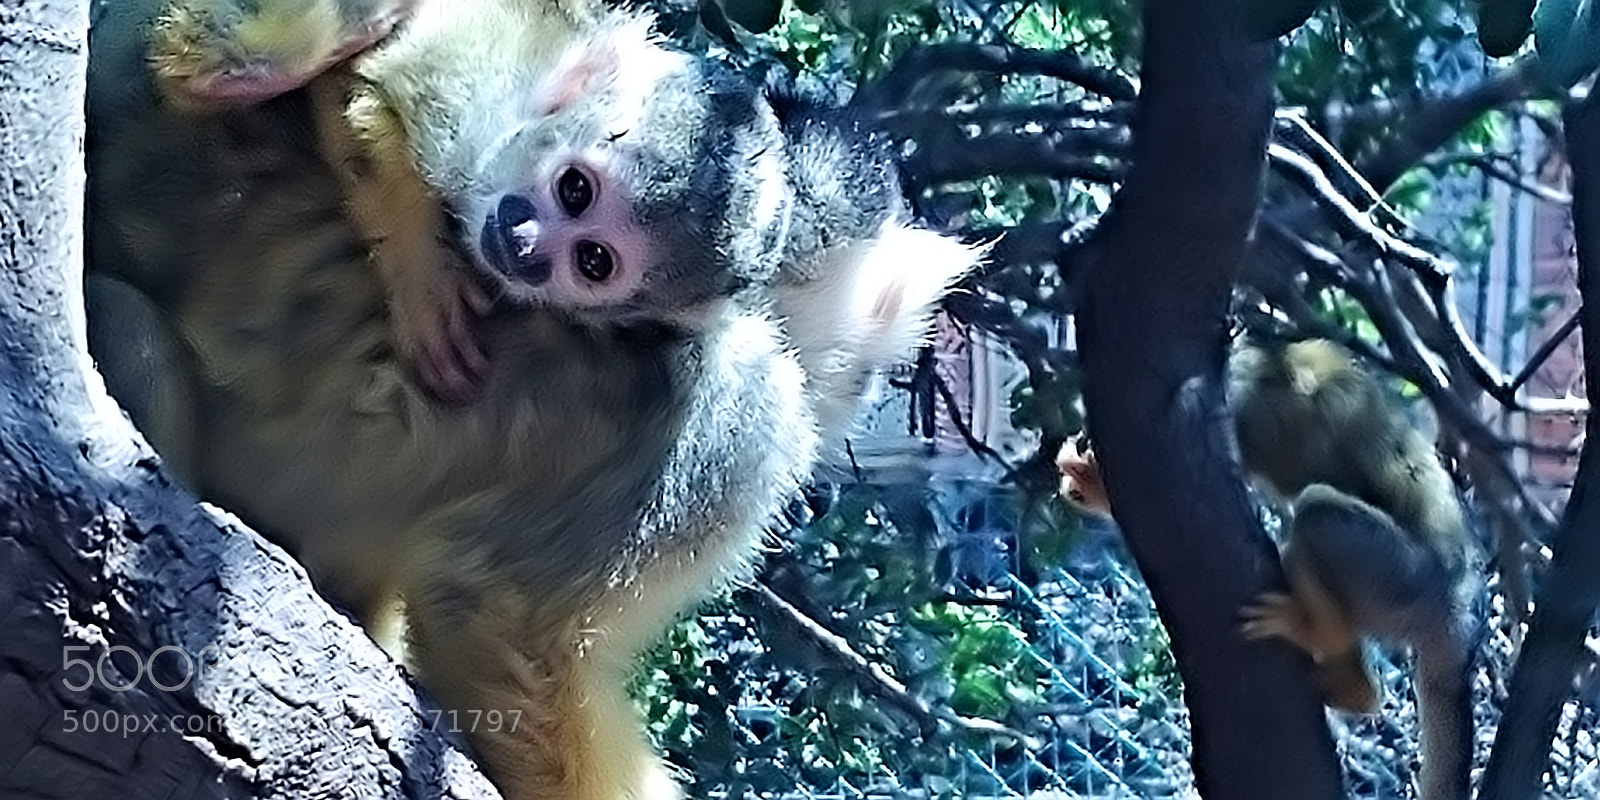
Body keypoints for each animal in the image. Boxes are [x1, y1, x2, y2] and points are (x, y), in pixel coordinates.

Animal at [1056, 339, 1475, 800]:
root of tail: (1455, 605)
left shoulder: (1235, 404)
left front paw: (1091, 476)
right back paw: (1354, 688)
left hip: (1405, 581)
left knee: (1316, 513)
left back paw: (1326, 644)